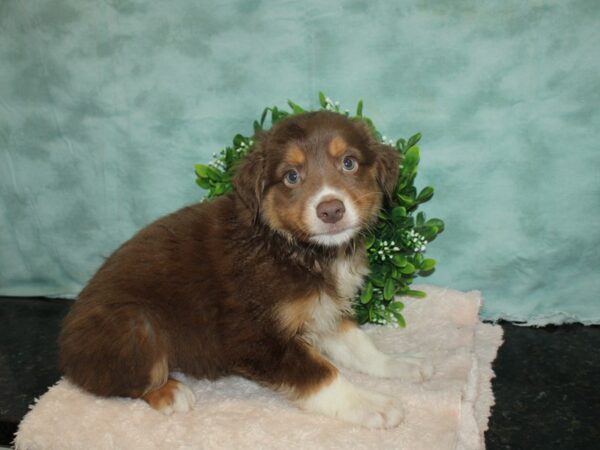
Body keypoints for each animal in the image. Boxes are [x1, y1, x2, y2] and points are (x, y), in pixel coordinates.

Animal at [59, 110, 432, 428]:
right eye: (291, 176)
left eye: (349, 163)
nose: (331, 210)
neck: (294, 248)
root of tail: (65, 345)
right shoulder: (257, 339)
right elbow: (323, 374)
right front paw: (372, 405)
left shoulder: (323, 310)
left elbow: (360, 345)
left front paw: (401, 363)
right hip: (135, 324)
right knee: (124, 380)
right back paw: (171, 392)